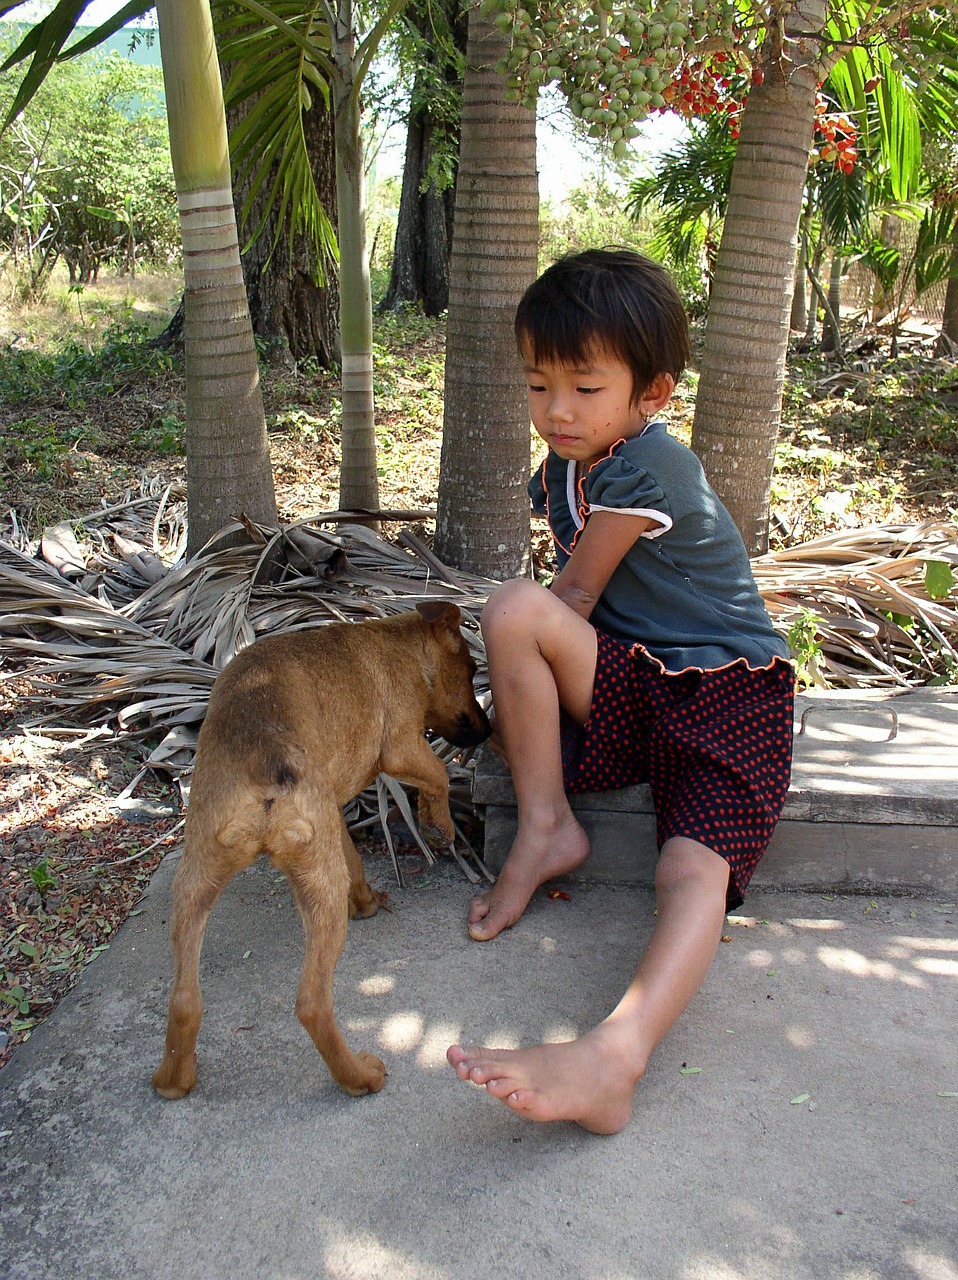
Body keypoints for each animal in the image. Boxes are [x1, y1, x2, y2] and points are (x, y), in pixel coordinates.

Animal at [155, 601, 494, 1100]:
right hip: (317, 892)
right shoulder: (402, 746)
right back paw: (360, 1077)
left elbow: (354, 859)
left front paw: (367, 899)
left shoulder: (332, 810)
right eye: (470, 671)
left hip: (196, 878)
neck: (404, 645)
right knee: (313, 1004)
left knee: (183, 998)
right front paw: (439, 825)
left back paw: (172, 1080)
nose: (489, 730)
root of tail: (263, 770)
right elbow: (436, 774)